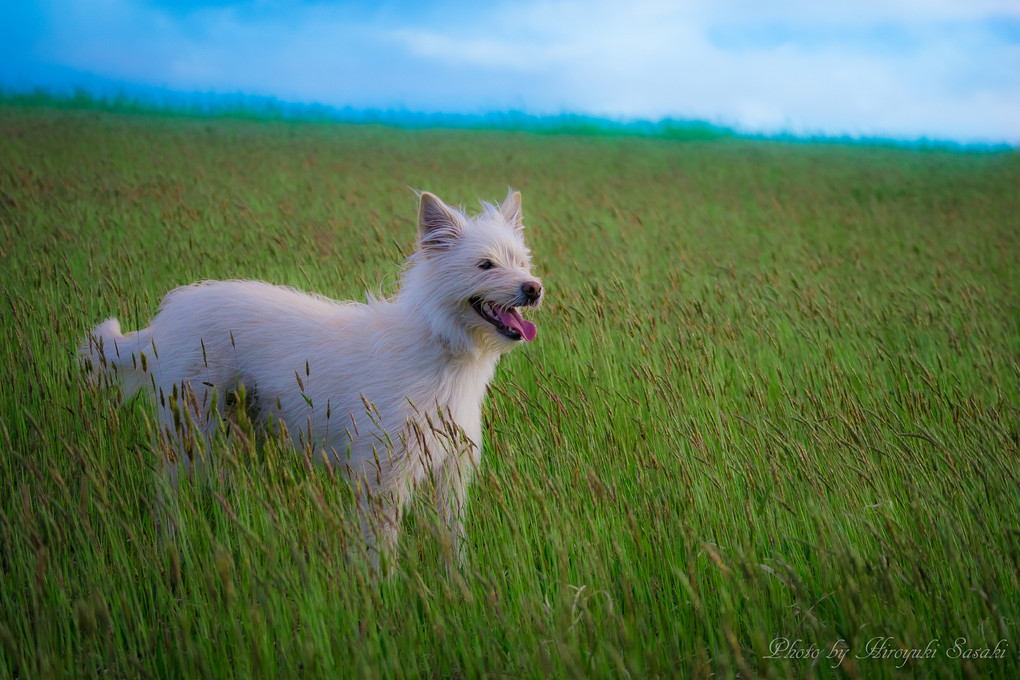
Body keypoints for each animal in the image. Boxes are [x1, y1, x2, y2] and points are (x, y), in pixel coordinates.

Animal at [81, 188, 542, 566]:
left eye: (521, 262)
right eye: (485, 265)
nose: (534, 288)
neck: (441, 346)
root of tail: (166, 320)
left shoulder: (449, 473)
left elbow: (451, 542)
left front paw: (457, 586)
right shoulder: (383, 477)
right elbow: (379, 549)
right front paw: (382, 595)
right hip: (190, 433)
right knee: (169, 495)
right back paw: (172, 545)